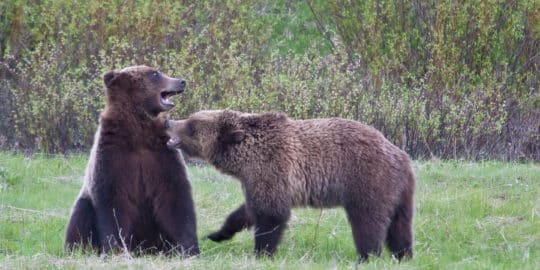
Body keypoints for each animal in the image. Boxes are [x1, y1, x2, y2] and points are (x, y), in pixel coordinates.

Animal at [63, 65, 198, 255]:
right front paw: (115, 248)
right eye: (155, 74)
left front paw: (189, 247)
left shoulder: (162, 153)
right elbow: (112, 201)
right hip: (86, 202)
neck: (138, 132)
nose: (181, 81)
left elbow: (174, 195)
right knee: (80, 214)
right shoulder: (112, 154)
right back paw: (77, 249)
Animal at [167, 109, 416, 262]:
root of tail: (401, 155)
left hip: (367, 181)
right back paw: (403, 255)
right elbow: (247, 211)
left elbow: (271, 215)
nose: (169, 121)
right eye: (191, 118)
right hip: (400, 191)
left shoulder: (273, 169)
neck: (244, 160)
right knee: (400, 226)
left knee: (368, 223)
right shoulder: (257, 181)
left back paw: (367, 256)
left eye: (191, 125)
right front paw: (217, 233)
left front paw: (262, 253)